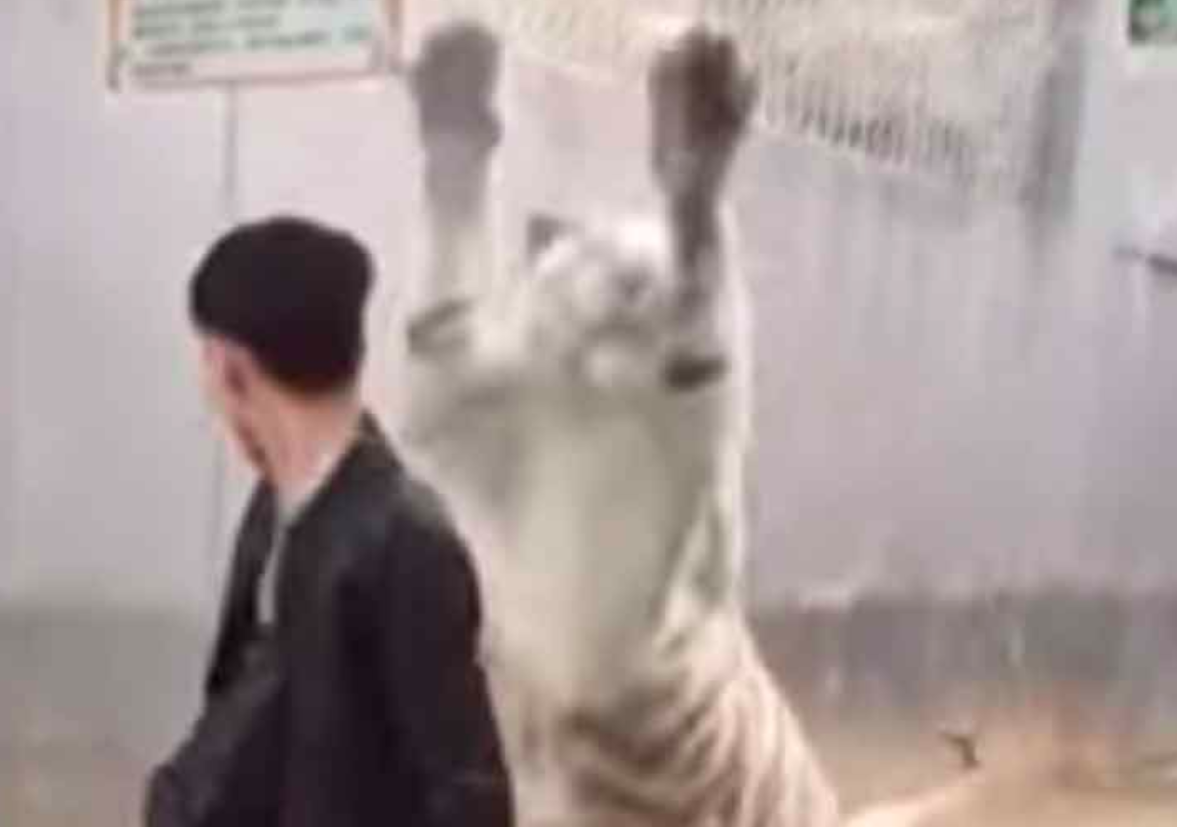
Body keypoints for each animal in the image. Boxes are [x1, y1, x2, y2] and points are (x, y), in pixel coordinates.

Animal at [394, 19, 841, 827]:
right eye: (602, 261)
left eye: (642, 274)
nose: (636, 290)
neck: (589, 397)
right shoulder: (467, 407)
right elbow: (444, 328)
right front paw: (456, 92)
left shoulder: (608, 595)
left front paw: (694, 135)